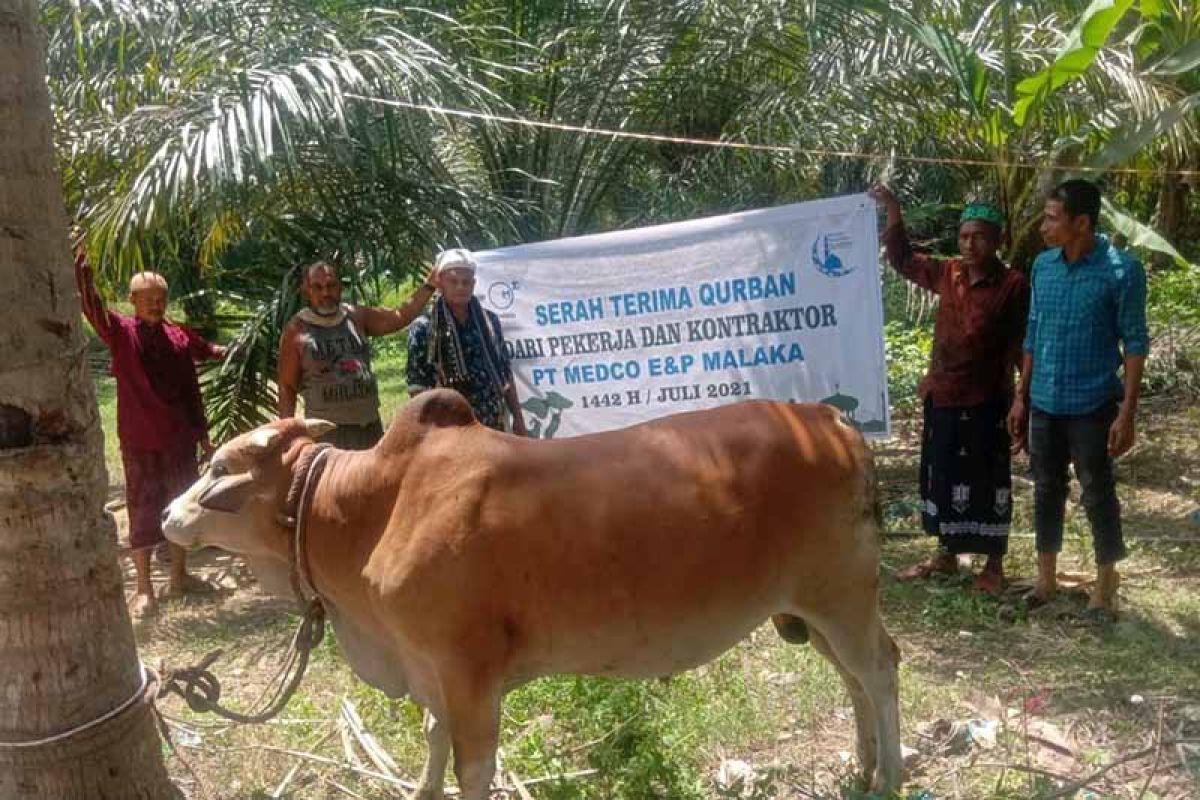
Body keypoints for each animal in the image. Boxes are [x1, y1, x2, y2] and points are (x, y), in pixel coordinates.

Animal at [162, 391, 902, 796]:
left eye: (219, 469)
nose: (168, 515)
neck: (370, 508)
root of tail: (832, 420)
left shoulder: (468, 672)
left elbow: (473, 768)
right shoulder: (430, 668)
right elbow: (432, 740)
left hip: (842, 597)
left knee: (880, 670)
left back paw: (889, 776)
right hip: (808, 613)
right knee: (853, 680)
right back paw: (863, 769)